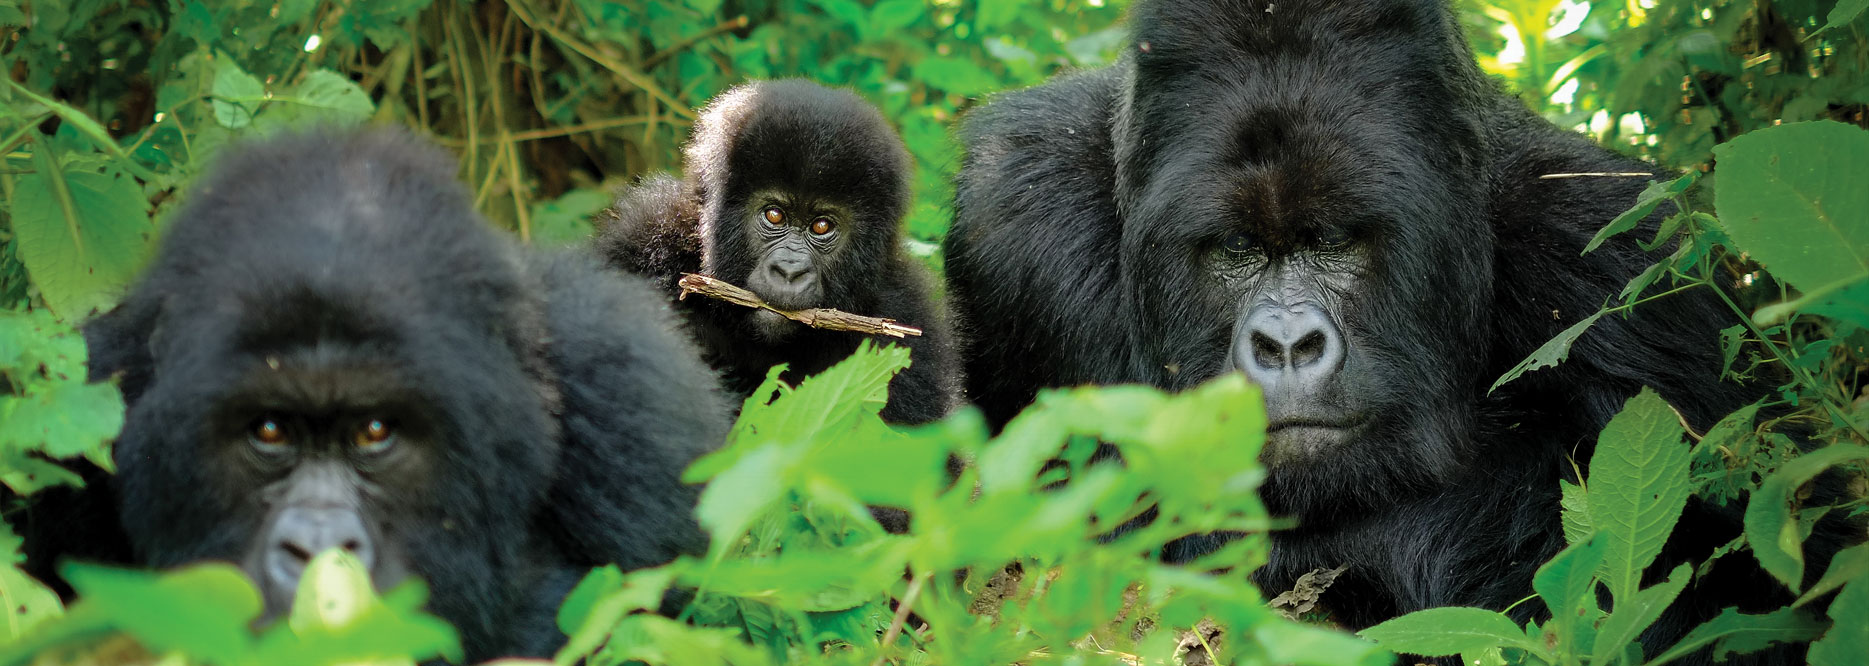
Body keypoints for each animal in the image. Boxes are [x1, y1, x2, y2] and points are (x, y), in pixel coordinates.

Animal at [941, 0, 1846, 662]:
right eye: (1236, 250)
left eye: (1332, 241)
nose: (1284, 347)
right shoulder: (1017, 218)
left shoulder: (1626, 265)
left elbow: (1753, 576)